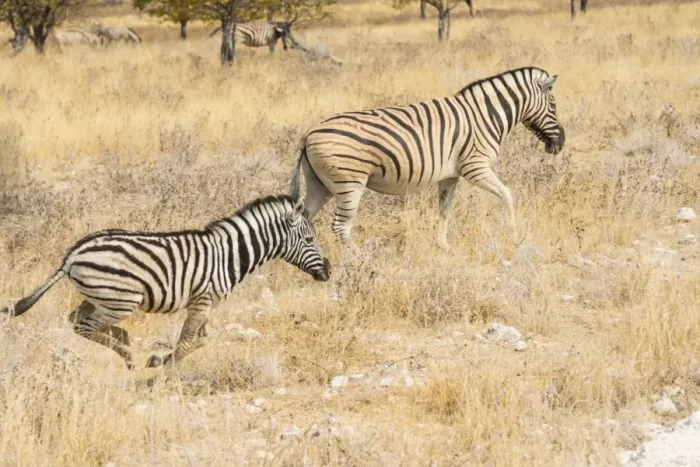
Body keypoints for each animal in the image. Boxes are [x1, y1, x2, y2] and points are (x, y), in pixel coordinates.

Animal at [0, 195, 331, 370]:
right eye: (309, 240)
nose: (328, 272)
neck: (229, 254)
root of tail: (71, 256)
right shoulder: (202, 300)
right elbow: (187, 342)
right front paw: (163, 366)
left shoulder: (206, 304)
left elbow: (202, 339)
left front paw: (160, 359)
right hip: (121, 300)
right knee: (85, 325)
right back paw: (127, 352)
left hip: (100, 297)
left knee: (75, 320)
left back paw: (124, 344)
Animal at [289, 67, 565, 250]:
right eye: (553, 106)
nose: (560, 144)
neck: (484, 116)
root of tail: (309, 132)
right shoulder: (475, 167)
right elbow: (507, 195)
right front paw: (514, 237)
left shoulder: (450, 175)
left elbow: (445, 210)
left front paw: (443, 246)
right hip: (349, 183)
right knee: (340, 225)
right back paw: (356, 259)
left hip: (320, 184)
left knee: (306, 217)